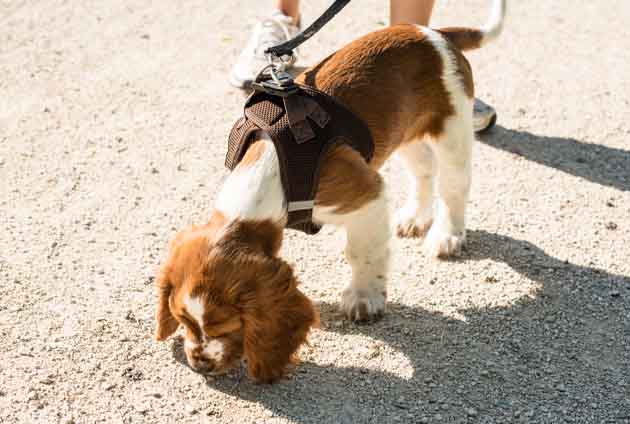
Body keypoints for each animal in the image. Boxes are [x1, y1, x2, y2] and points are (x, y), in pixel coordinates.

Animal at [154, 0, 508, 384]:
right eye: (183, 320)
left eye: (225, 325)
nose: (200, 364)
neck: (273, 167)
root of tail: (434, 33)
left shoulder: (366, 194)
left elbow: (361, 252)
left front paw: (364, 298)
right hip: (405, 131)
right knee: (424, 168)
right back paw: (415, 218)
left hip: (452, 128)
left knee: (454, 185)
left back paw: (447, 235)